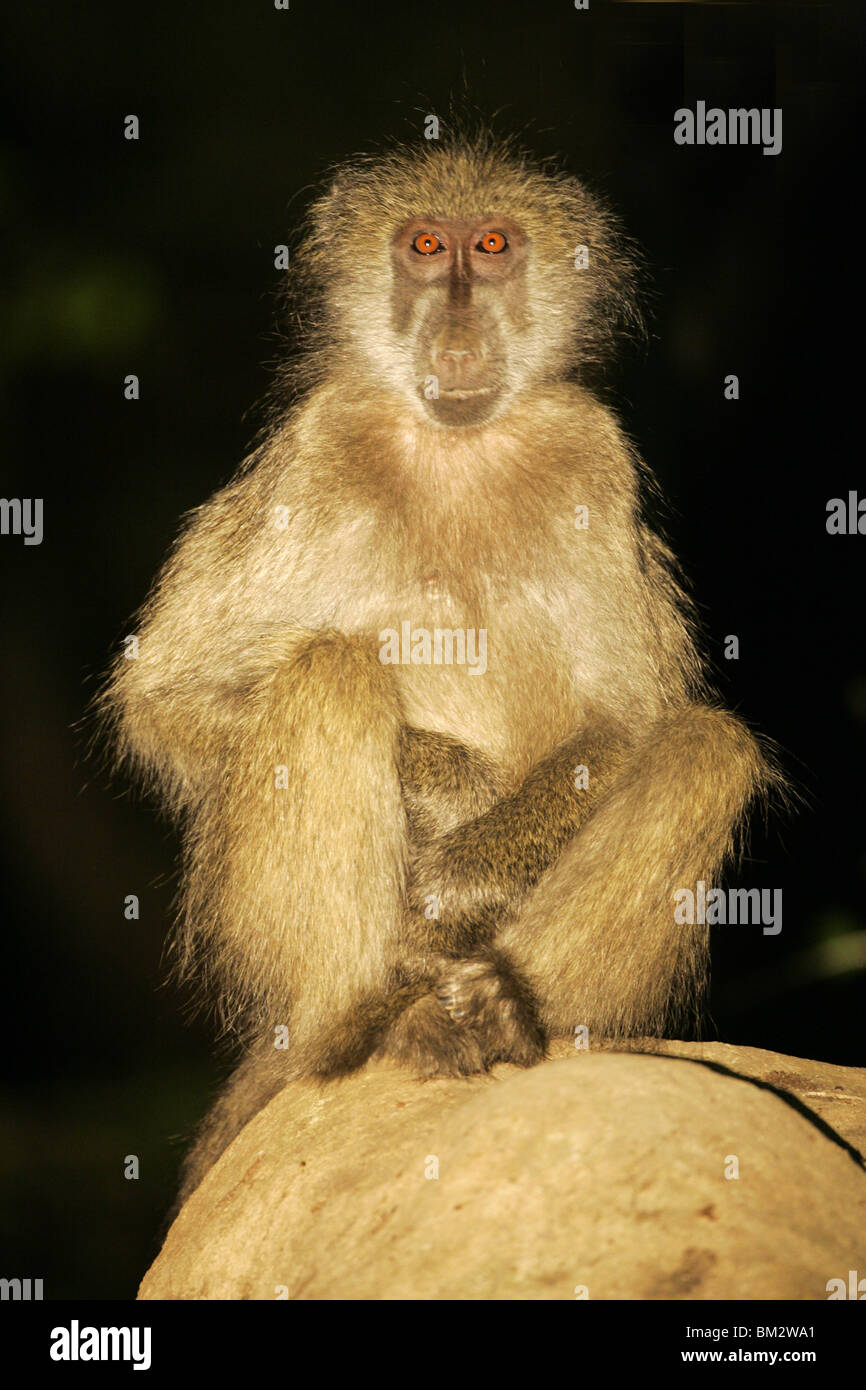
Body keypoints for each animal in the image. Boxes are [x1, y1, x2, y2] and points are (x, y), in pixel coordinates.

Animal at [97, 130, 778, 1206]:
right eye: (424, 247)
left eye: (491, 246)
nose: (457, 338)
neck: (459, 447)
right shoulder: (318, 442)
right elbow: (168, 699)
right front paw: (454, 792)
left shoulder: (595, 453)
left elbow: (634, 719)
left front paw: (458, 876)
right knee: (327, 672)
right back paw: (366, 1017)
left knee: (706, 747)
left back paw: (508, 1009)